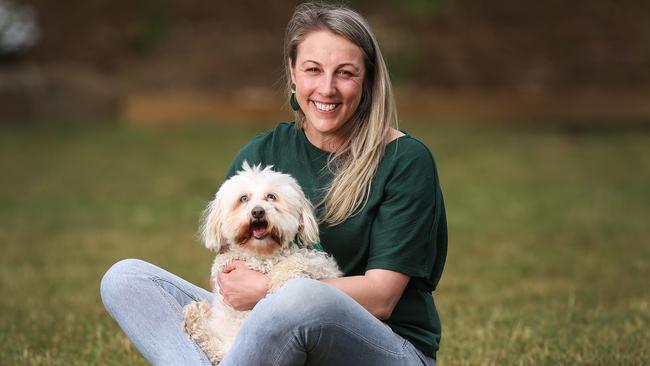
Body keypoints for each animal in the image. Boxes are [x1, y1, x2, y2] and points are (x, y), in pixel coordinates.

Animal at [178, 162, 336, 364]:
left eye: (271, 196)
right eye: (243, 199)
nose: (258, 211)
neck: (261, 254)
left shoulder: (321, 264)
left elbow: (296, 260)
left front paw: (279, 282)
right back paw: (196, 317)